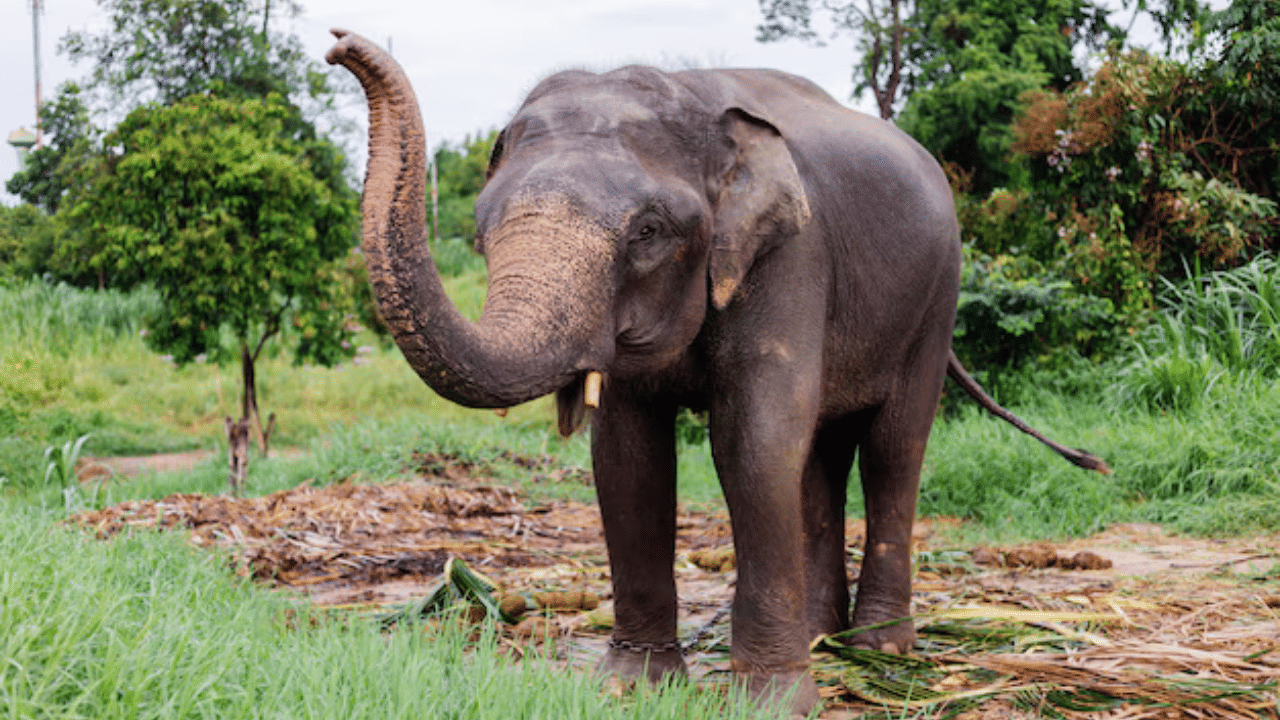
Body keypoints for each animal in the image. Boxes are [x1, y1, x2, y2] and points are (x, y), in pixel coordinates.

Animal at [325, 29, 1108, 716]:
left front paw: (774, 705)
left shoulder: (792, 254)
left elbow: (753, 442)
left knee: (892, 448)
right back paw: (824, 637)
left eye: (647, 233)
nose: (338, 45)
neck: (694, 98)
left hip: (937, 295)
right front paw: (632, 689)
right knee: (819, 458)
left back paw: (879, 650)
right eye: (482, 232)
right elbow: (628, 458)